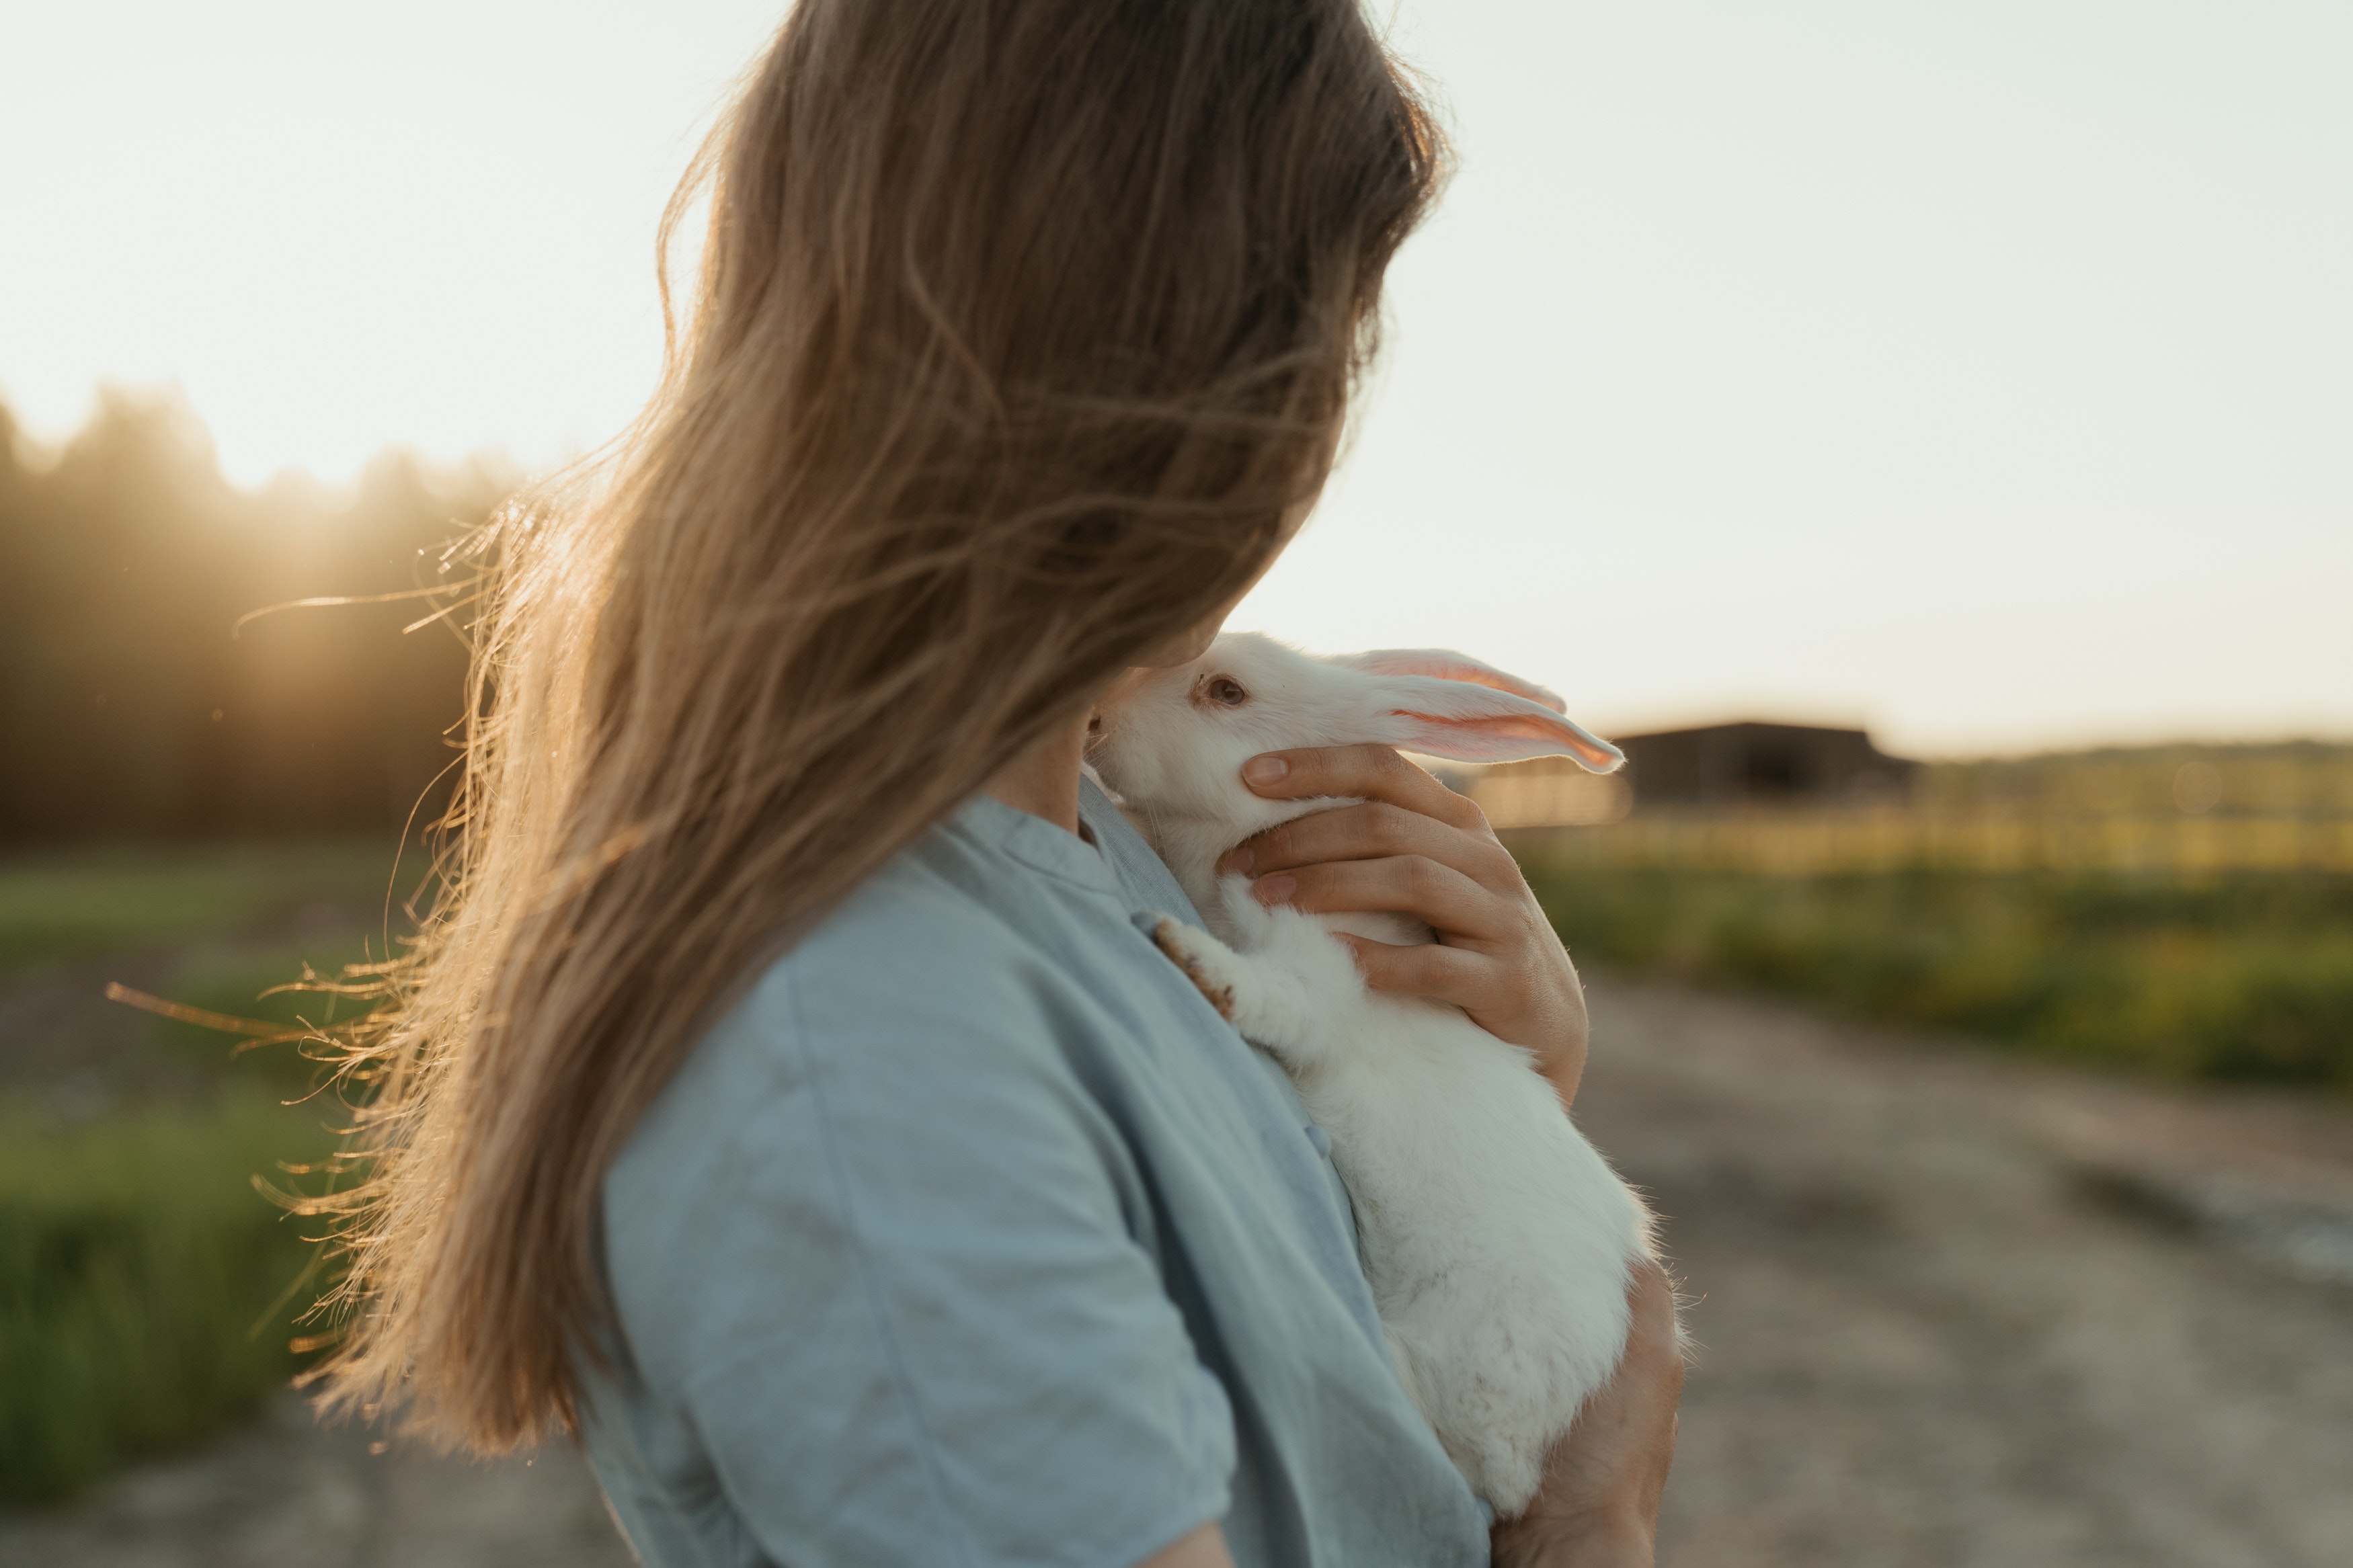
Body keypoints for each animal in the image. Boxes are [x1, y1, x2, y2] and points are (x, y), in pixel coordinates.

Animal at [1088, 632, 1662, 1518]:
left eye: (1225, 690)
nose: (1095, 721)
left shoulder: (1325, 969)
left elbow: (1271, 994)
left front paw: (1190, 954)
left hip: (1465, 1365)